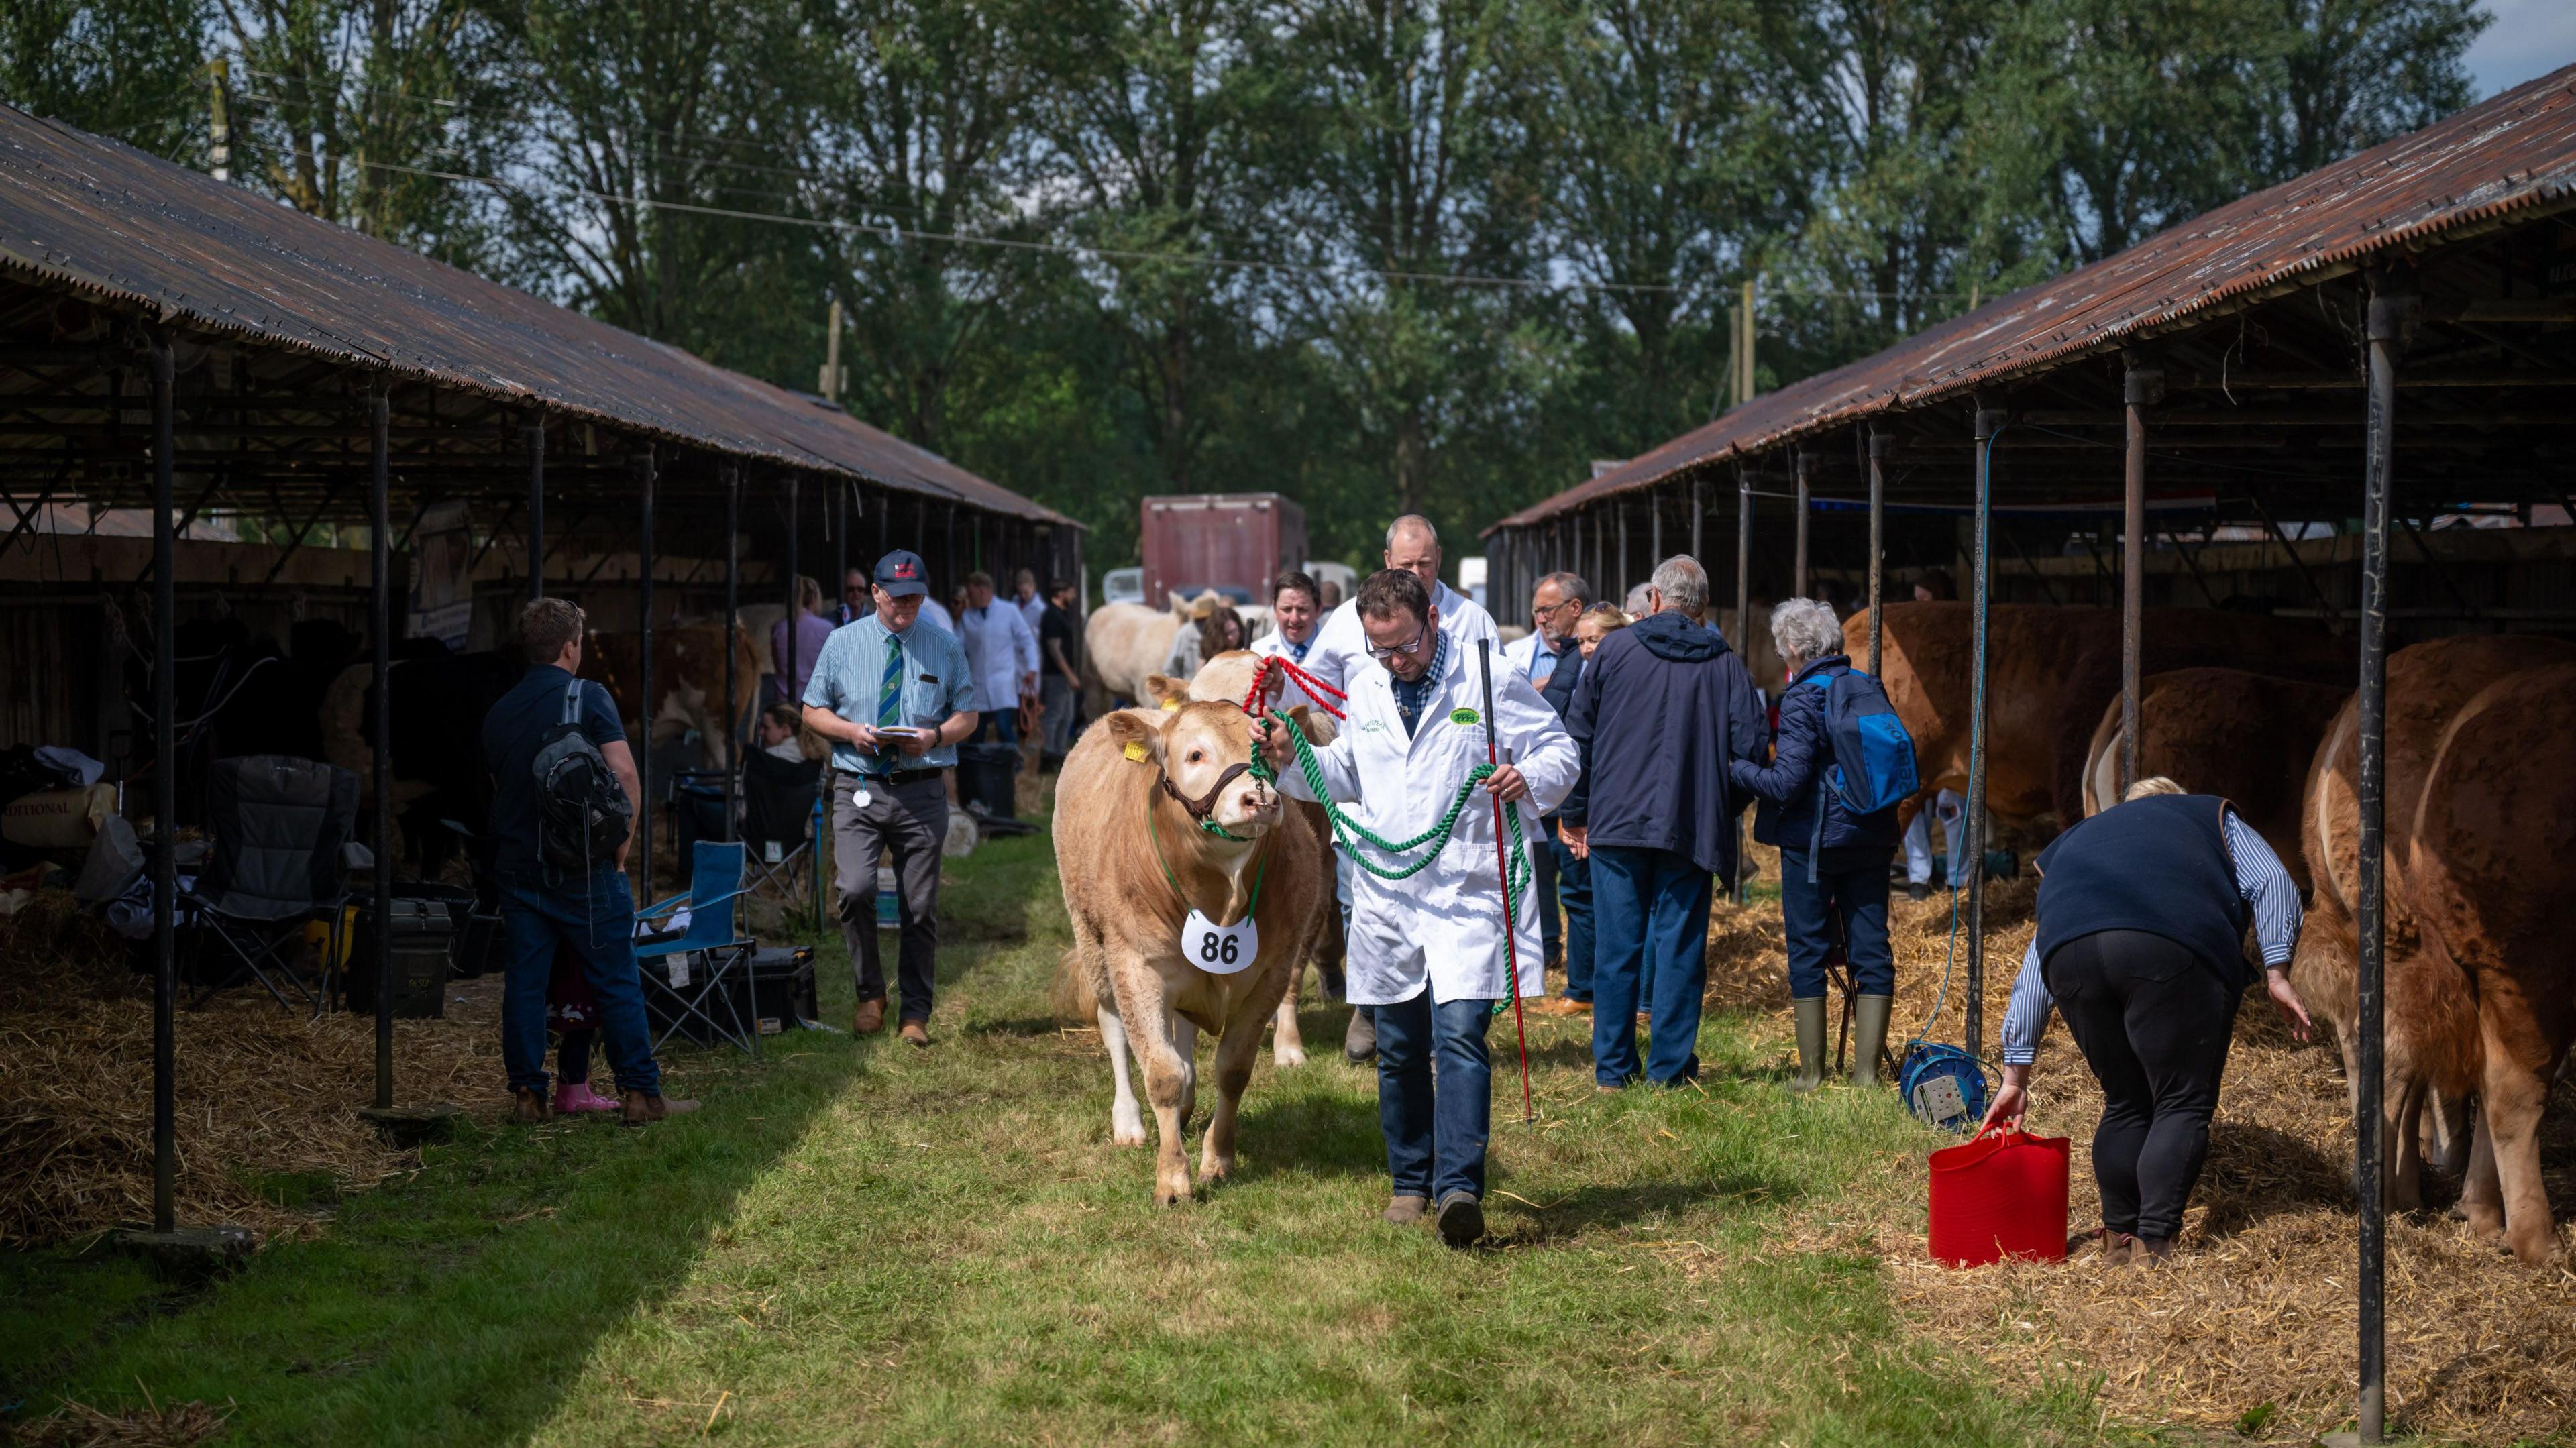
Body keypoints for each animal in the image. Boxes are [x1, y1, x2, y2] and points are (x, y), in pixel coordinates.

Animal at [1051, 695, 1329, 1201]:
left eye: (1266, 746)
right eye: (1196, 754)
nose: (1260, 799)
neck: (1220, 893)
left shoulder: (1272, 973)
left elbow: (1233, 1070)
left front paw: (1217, 1159)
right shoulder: (1135, 965)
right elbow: (1161, 1073)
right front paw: (1173, 1177)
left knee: (1182, 1032)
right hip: (1093, 943)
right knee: (1114, 1028)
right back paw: (1129, 1123)